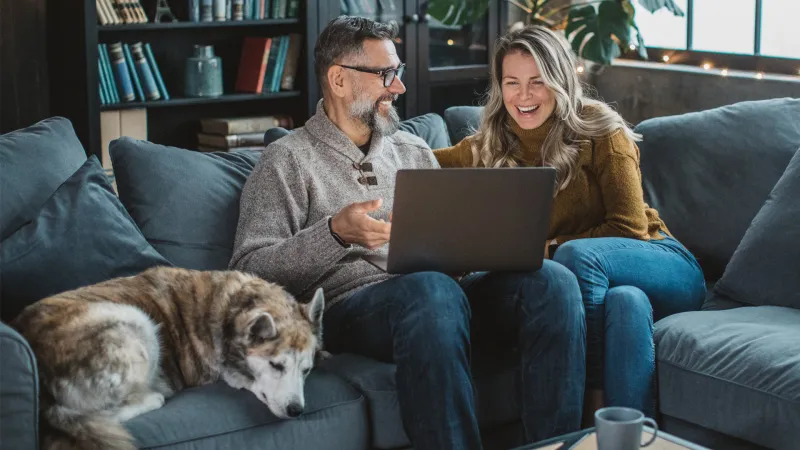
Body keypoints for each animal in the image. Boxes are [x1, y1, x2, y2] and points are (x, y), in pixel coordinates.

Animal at [12, 268, 324, 450]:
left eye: (307, 370)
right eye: (276, 365)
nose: (297, 410)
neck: (232, 309)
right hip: (135, 322)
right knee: (103, 413)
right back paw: (155, 394)